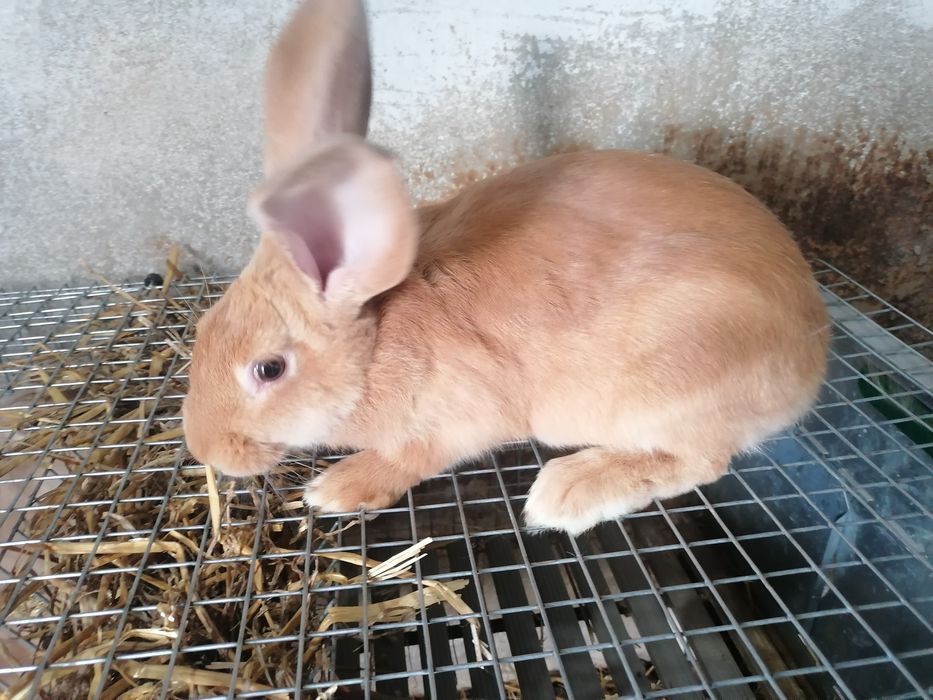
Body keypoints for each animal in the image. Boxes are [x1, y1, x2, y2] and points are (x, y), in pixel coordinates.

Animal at [181, 0, 829, 535]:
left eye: (268, 369)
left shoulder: (453, 423)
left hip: (671, 388)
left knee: (700, 461)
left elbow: (408, 457)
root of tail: (811, 356)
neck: (375, 344)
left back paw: (566, 493)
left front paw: (337, 489)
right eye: (203, 329)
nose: (204, 448)